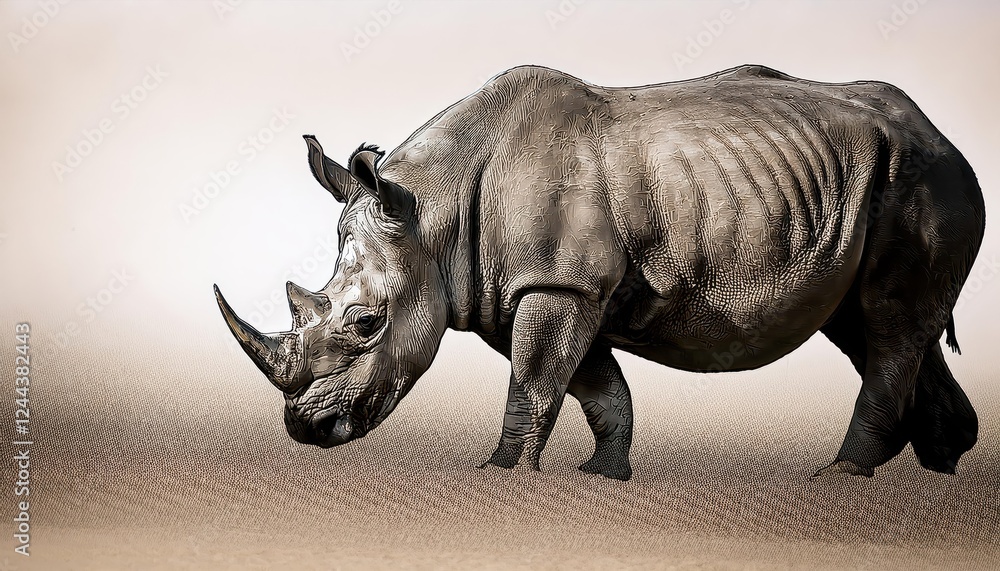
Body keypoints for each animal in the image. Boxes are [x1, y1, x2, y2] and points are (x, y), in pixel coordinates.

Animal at [215, 64, 984, 481]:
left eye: (366, 323)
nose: (305, 428)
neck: (432, 213)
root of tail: (942, 133)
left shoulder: (558, 283)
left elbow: (534, 381)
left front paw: (499, 476)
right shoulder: (528, 288)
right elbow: (592, 384)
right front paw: (600, 477)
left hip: (923, 181)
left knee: (888, 323)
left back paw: (839, 478)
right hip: (877, 182)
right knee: (871, 327)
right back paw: (938, 473)